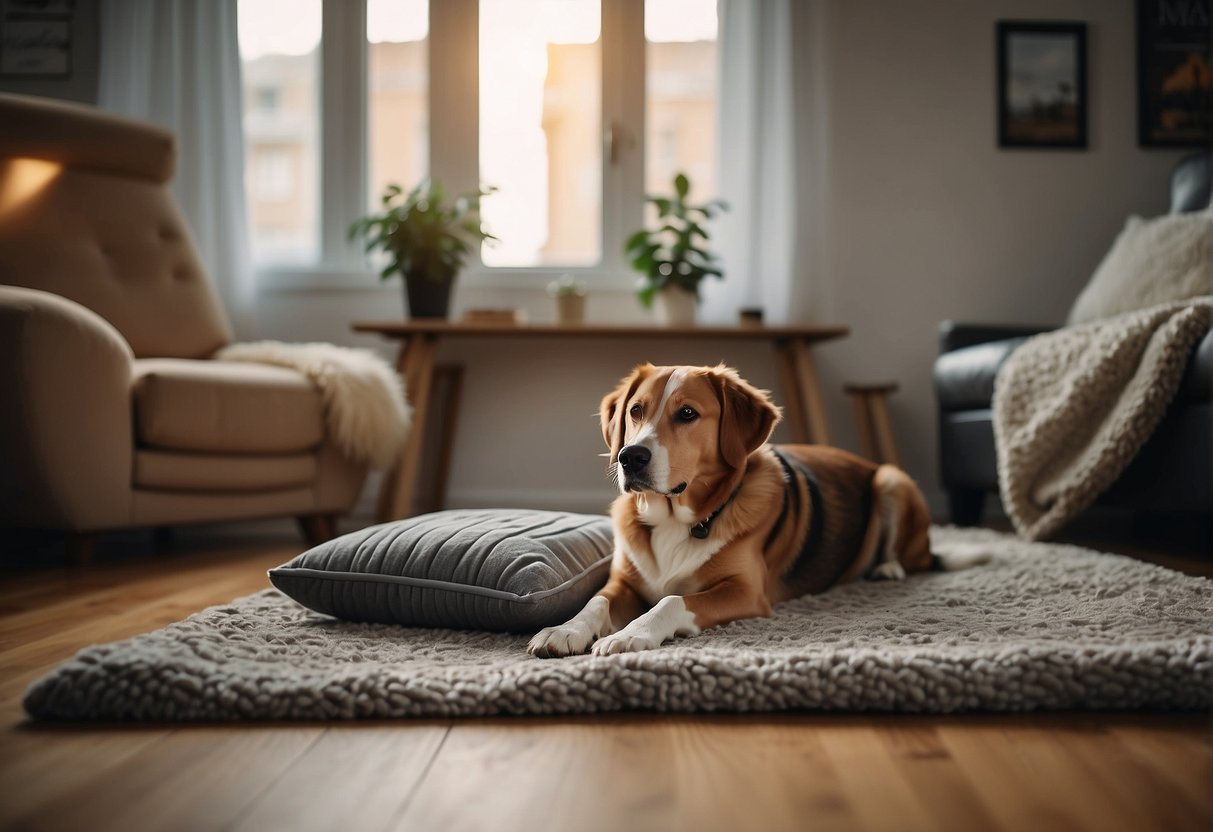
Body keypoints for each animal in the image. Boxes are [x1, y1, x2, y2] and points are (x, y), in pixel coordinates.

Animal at [528, 363, 984, 659]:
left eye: (687, 413)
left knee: (912, 556)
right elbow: (595, 604)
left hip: (891, 479)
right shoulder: (623, 582)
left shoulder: (746, 592)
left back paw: (888, 568)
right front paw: (564, 631)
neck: (677, 519)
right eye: (635, 410)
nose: (629, 457)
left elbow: (672, 599)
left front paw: (631, 634)